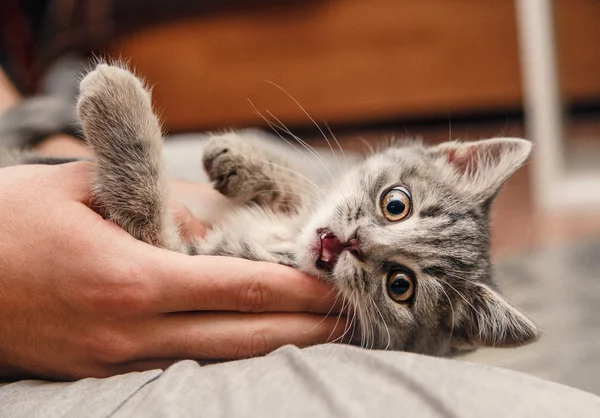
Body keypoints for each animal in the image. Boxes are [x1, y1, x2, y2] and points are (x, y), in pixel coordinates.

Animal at [3, 64, 540, 356]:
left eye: (400, 286)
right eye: (396, 204)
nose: (353, 242)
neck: (283, 239)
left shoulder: (175, 253)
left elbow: (146, 209)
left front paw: (117, 102)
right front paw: (243, 159)